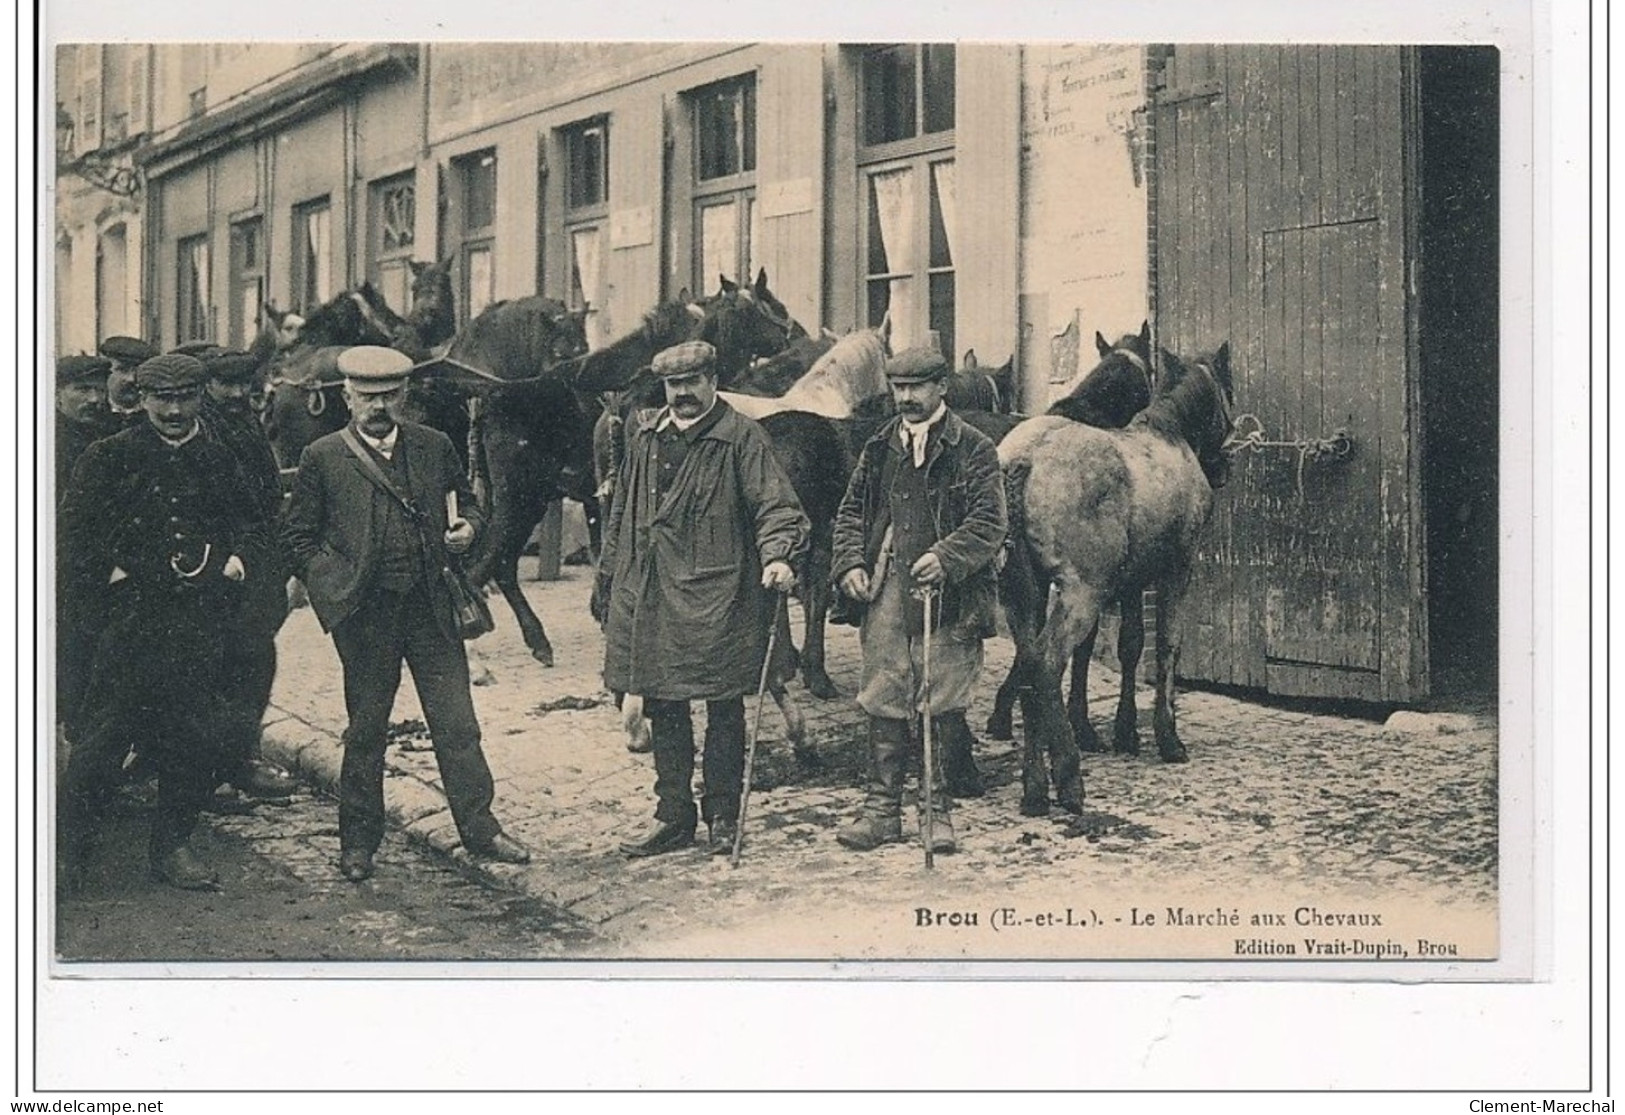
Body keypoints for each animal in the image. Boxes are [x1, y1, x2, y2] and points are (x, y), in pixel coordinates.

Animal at [994, 344, 1235, 815]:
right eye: (1226, 392)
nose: (1222, 467)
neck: (1170, 436)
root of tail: (1023, 460)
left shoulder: (1130, 580)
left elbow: (1130, 647)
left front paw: (1126, 732)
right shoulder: (1176, 570)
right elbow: (1166, 646)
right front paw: (1167, 736)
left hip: (1022, 595)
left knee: (1030, 665)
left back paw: (1035, 787)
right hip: (1081, 592)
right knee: (1047, 665)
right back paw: (1068, 778)